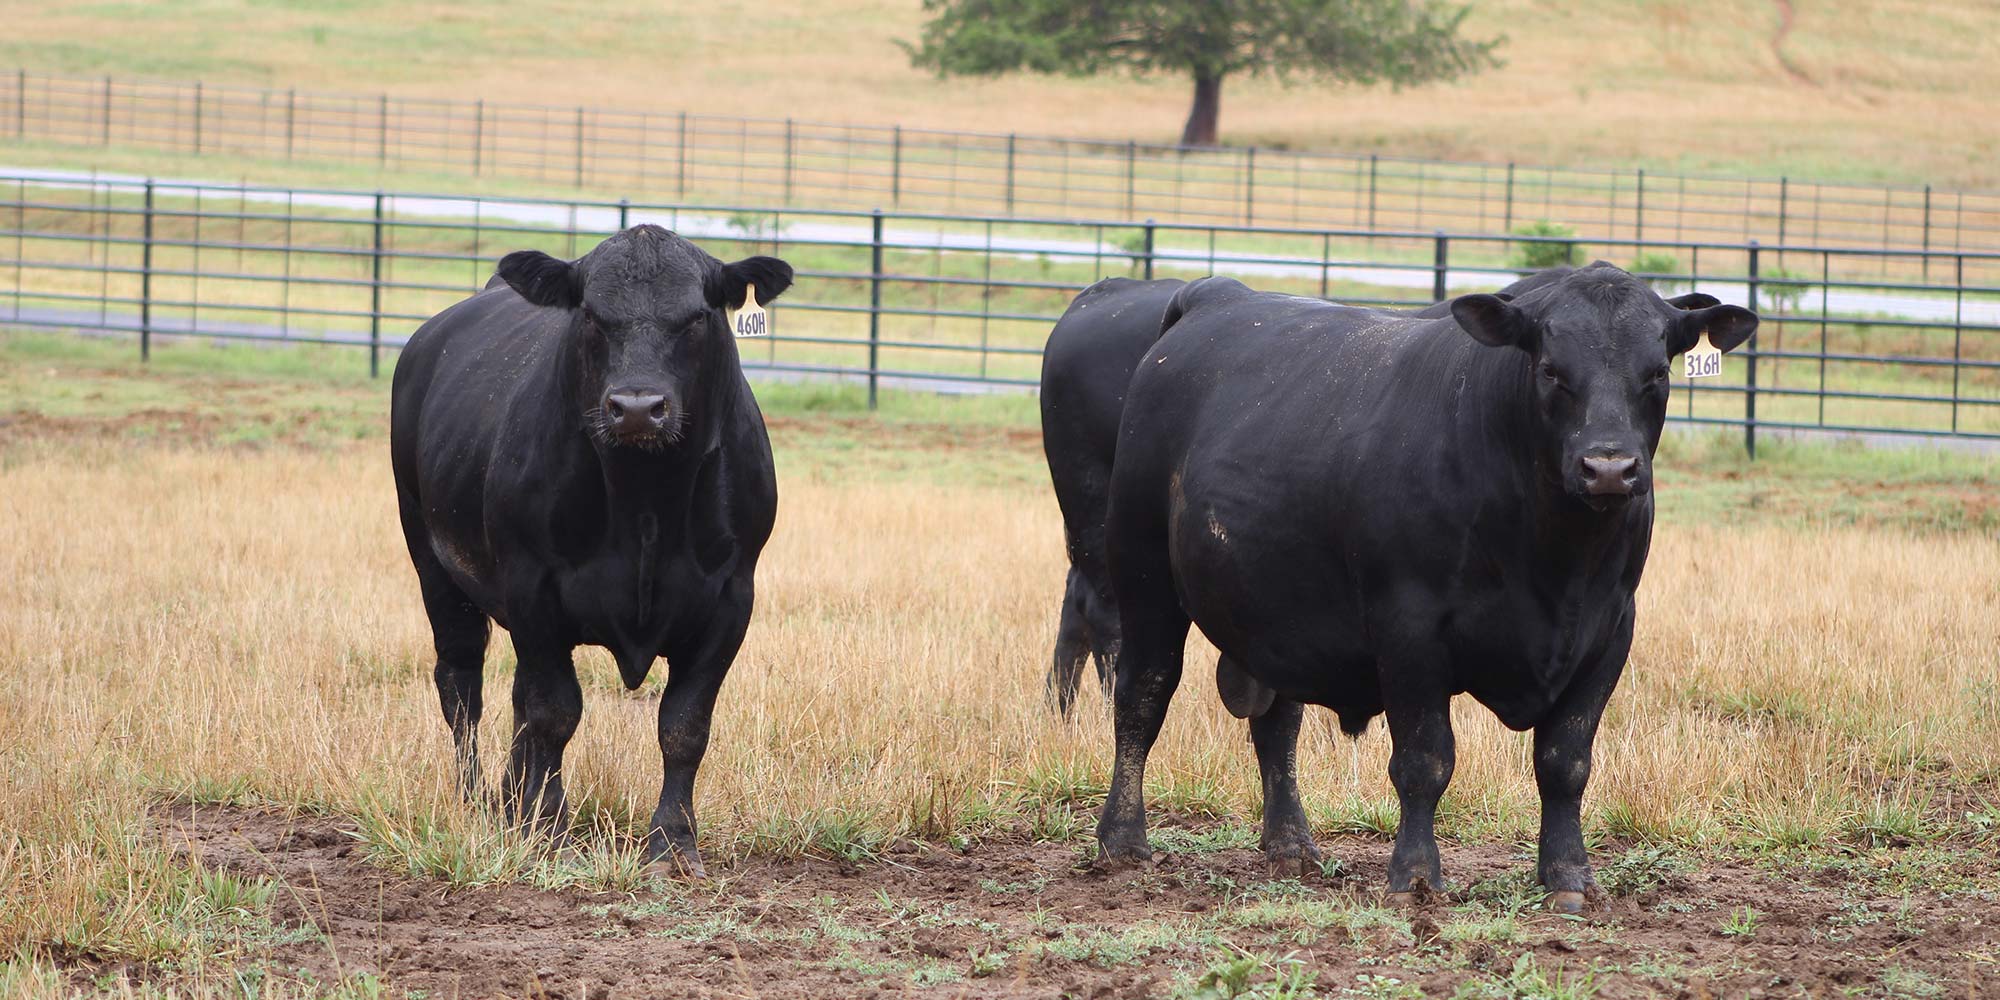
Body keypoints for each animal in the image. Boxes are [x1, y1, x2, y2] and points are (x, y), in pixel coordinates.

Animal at [386, 225, 792, 876]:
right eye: (593, 316)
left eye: (697, 317)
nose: (637, 408)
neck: (645, 501)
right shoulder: (532, 587)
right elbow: (556, 711)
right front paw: (549, 827)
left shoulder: (731, 600)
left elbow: (684, 725)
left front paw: (674, 842)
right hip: (433, 562)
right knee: (462, 686)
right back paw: (477, 800)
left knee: (514, 697)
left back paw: (511, 798)